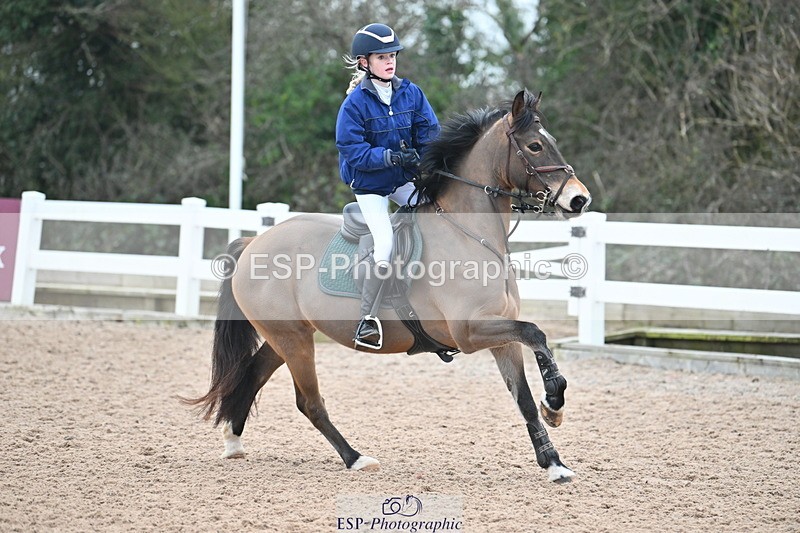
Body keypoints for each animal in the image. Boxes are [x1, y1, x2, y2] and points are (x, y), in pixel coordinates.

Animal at [184, 89, 591, 482]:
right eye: (535, 146)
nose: (579, 198)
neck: (469, 234)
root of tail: (254, 242)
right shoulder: (470, 331)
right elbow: (536, 333)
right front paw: (555, 402)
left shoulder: (501, 337)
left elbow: (524, 397)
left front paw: (553, 458)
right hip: (292, 339)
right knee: (309, 402)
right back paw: (356, 458)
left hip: (287, 335)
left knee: (253, 375)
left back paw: (234, 441)